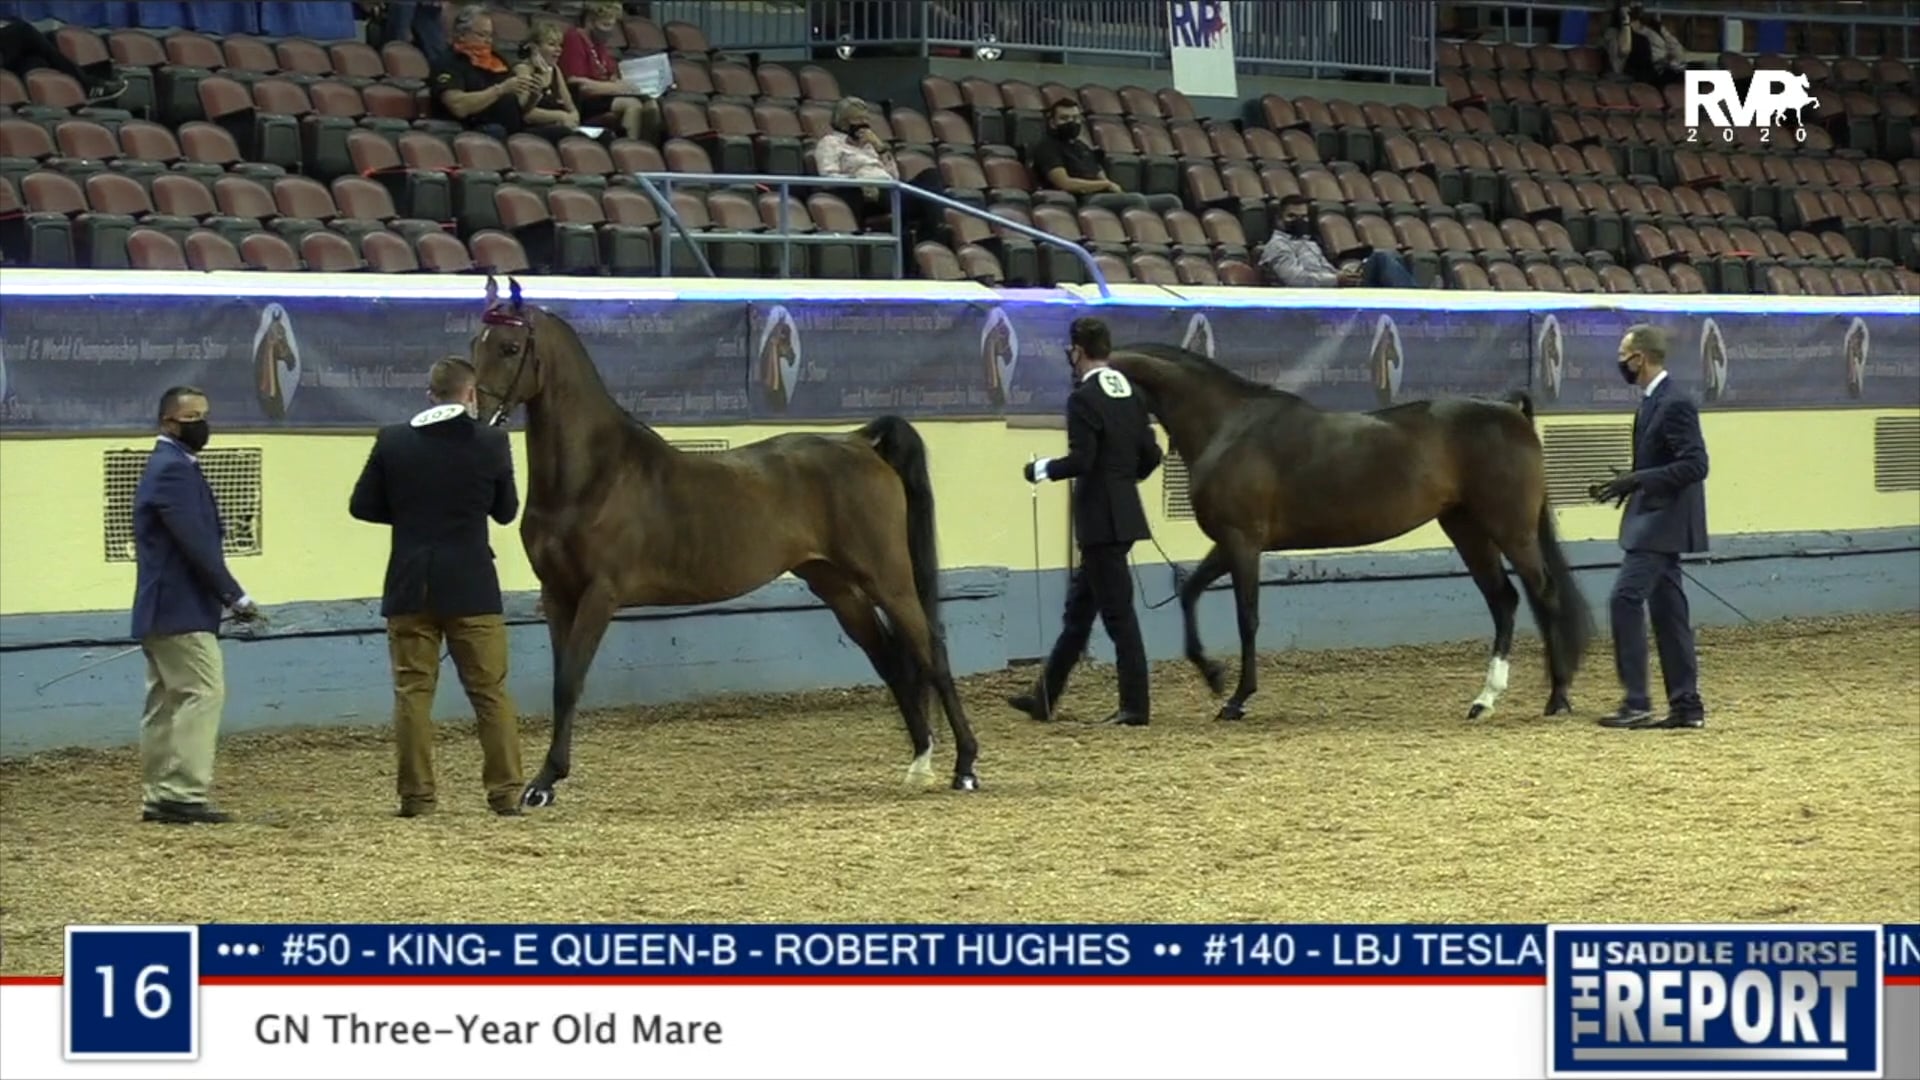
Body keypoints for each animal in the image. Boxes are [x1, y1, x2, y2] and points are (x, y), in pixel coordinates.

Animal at [465, 278, 980, 807]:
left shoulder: (599, 594)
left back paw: (964, 766)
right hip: (835, 584)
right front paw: (543, 781)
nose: (478, 417)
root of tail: (859, 441)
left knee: (932, 652)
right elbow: (558, 683)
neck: (594, 476)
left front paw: (544, 784)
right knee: (891, 660)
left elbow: (570, 682)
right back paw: (919, 763)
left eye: (510, 347)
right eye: (474, 345)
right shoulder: (556, 594)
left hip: (886, 577)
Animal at [1105, 342, 1595, 722]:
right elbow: (1190, 593)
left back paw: (1557, 697)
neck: (1228, 426)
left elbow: (1247, 618)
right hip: (1467, 529)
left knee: (1544, 595)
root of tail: (1510, 412)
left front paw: (1237, 699)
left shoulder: (1243, 541)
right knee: (1505, 601)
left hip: (1510, 530)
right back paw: (1484, 701)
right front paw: (1214, 677)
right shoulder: (1229, 543)